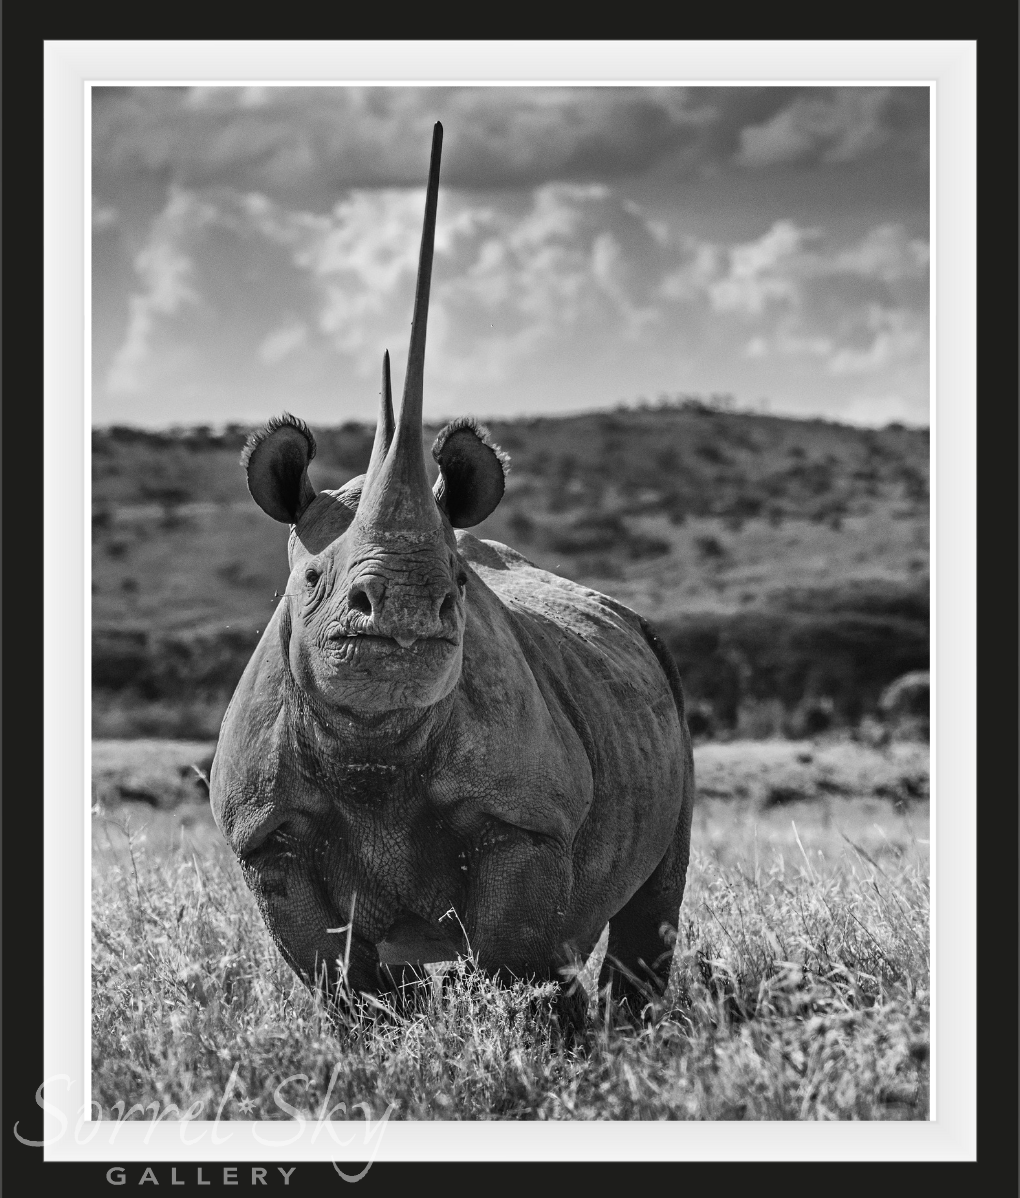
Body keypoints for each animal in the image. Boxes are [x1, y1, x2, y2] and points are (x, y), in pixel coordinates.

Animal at [210, 123, 695, 1017]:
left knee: (651, 894)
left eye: (459, 586)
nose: (403, 610)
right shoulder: (268, 835)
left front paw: (529, 1024)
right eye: (312, 582)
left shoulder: (524, 819)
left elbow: (512, 954)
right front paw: (382, 1034)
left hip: (665, 684)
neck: (375, 749)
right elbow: (340, 976)